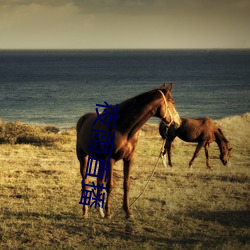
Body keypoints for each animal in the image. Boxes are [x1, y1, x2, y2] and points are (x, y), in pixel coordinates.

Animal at [76, 82, 180, 219]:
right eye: (172, 102)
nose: (178, 122)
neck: (122, 127)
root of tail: (82, 119)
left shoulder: (129, 158)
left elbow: (126, 184)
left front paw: (128, 212)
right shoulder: (110, 158)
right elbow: (110, 185)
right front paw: (108, 213)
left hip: (100, 159)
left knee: (99, 181)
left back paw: (100, 210)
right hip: (83, 157)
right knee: (85, 182)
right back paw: (85, 212)